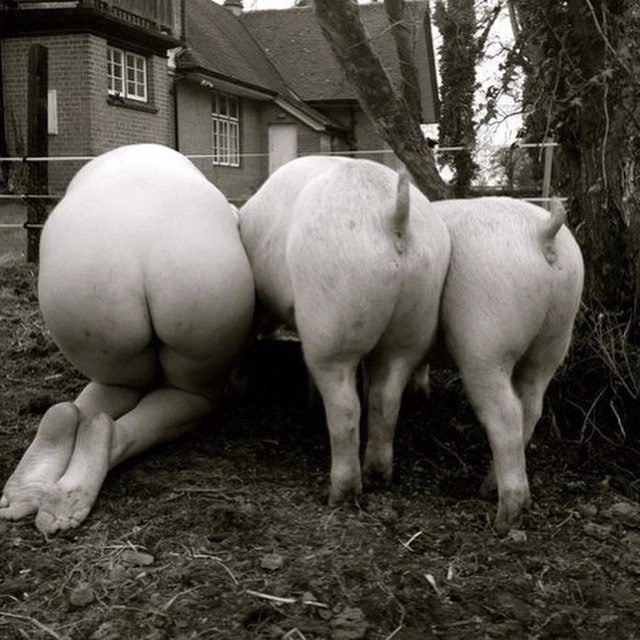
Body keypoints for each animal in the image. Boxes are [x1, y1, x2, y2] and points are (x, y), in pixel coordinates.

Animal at [0, 144, 255, 534]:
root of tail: (139, 257)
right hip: (198, 309)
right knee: (185, 397)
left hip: (92, 316)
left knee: (109, 392)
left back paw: (45, 478)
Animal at [239, 155, 451, 505]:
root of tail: (395, 213)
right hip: (415, 319)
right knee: (385, 397)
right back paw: (378, 476)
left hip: (332, 323)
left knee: (345, 406)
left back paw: (340, 493)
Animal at [425, 197, 584, 531]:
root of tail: (542, 232)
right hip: (556, 335)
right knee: (531, 407)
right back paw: (492, 490)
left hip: (485, 338)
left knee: (506, 414)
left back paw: (504, 519)